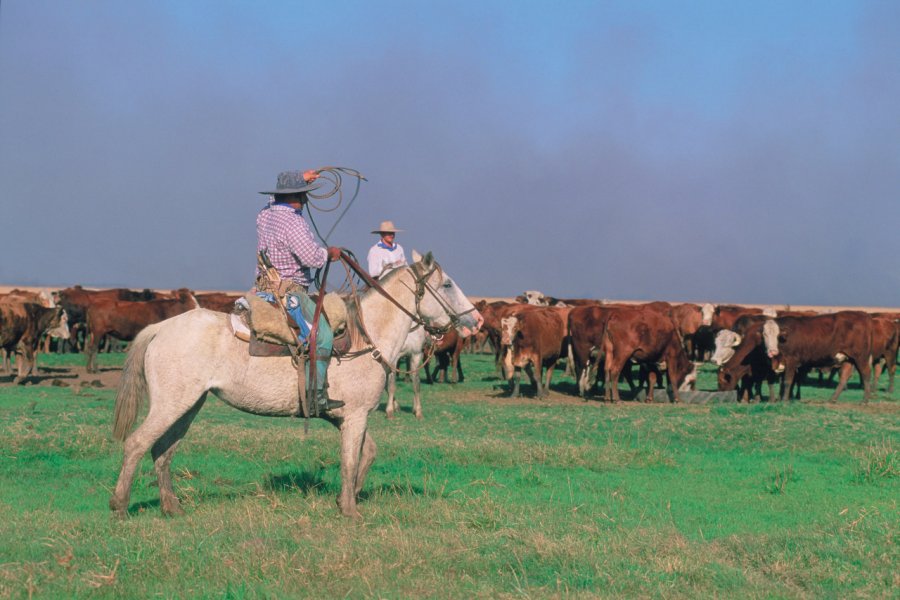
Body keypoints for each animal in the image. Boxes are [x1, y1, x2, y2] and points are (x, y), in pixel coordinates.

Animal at [110, 251, 486, 516]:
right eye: (448, 284)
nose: (477, 320)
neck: (367, 336)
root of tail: (161, 328)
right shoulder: (356, 416)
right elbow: (350, 459)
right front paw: (350, 511)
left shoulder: (347, 416)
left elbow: (367, 453)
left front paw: (348, 498)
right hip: (172, 404)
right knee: (138, 443)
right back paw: (120, 506)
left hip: (189, 404)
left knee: (164, 449)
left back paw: (172, 507)